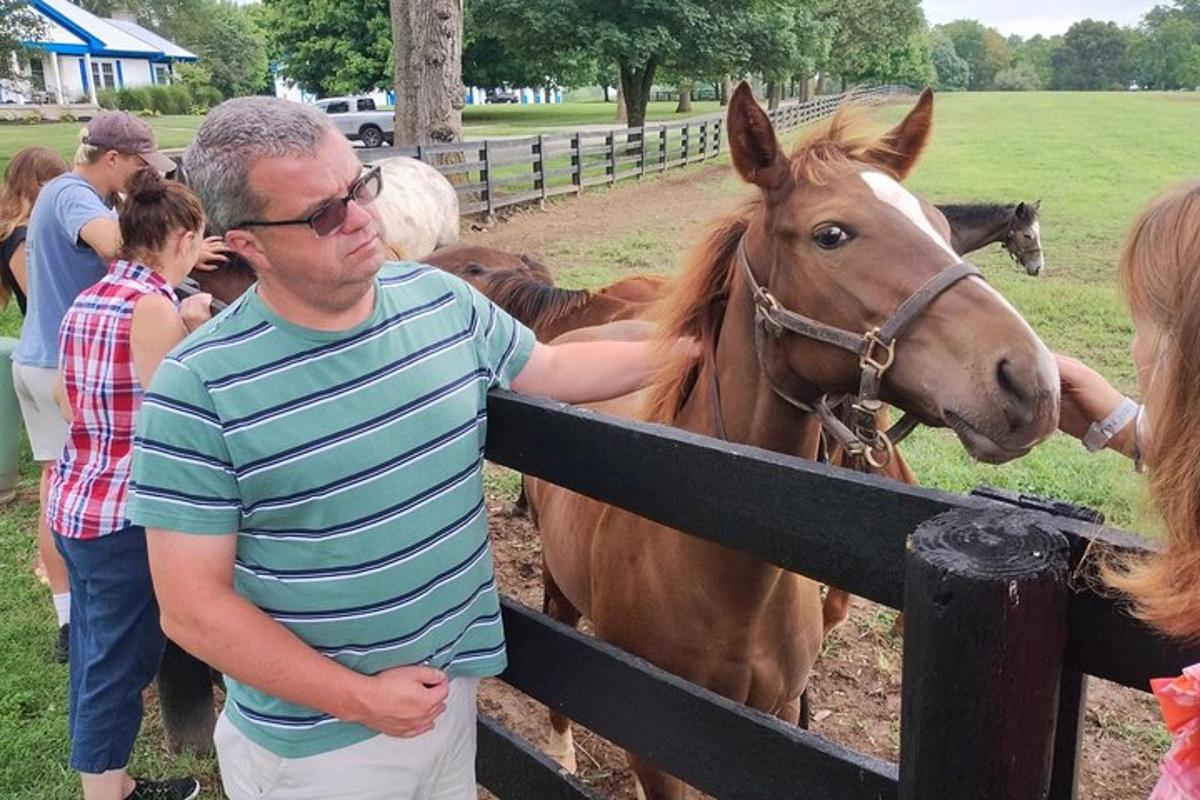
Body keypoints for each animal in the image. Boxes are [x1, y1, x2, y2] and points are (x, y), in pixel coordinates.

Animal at [525, 84, 1060, 796]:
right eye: (831, 234)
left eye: (944, 230)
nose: (1033, 381)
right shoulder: (658, 743)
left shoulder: (775, 721)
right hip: (559, 587)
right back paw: (559, 751)